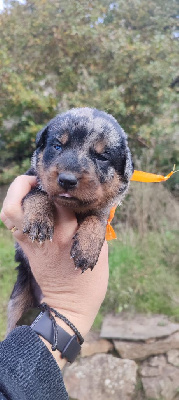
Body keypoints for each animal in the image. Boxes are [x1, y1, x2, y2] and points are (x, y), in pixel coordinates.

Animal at [7, 108, 133, 332]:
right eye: (57, 146)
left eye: (102, 156)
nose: (67, 179)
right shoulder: (32, 178)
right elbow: (39, 193)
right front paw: (40, 220)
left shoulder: (104, 209)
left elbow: (97, 218)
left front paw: (87, 248)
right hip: (18, 298)